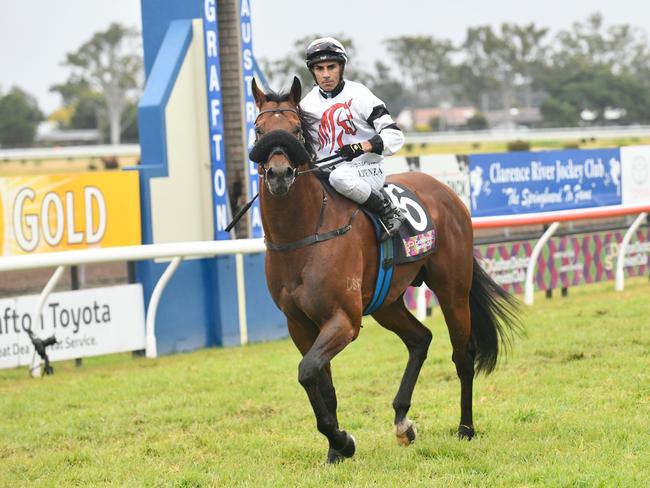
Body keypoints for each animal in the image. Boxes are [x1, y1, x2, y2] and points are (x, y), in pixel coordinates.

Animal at [248, 77, 516, 466]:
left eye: (296, 129)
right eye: (259, 130)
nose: (279, 174)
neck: (303, 234)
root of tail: (446, 191)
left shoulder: (344, 319)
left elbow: (307, 371)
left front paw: (342, 441)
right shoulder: (299, 325)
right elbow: (320, 382)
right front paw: (336, 448)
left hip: (452, 290)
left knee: (462, 355)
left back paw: (465, 428)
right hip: (387, 303)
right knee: (420, 339)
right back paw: (403, 421)